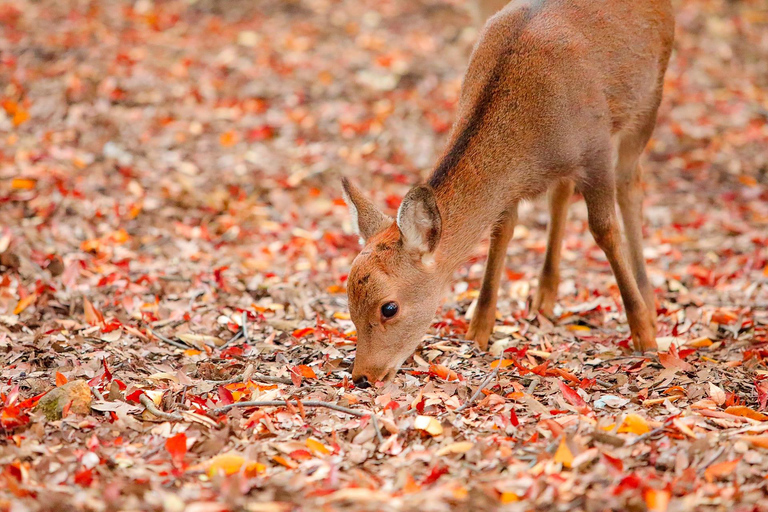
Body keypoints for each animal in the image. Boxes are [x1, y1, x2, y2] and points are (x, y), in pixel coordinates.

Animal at [342, 0, 675, 388]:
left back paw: (649, 304)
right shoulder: (513, 187)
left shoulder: (597, 149)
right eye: (349, 304)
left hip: (651, 96)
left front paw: (645, 335)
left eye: (389, 308)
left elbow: (604, 228)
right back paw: (544, 296)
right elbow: (501, 233)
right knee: (561, 192)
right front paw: (478, 331)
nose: (363, 376)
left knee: (630, 182)